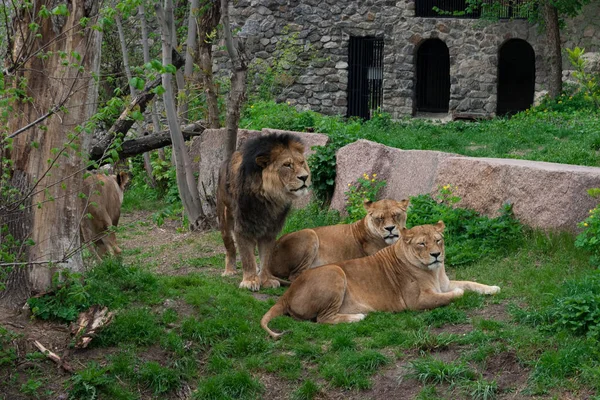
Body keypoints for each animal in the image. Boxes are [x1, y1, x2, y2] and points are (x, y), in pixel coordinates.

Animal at [217, 134, 312, 290]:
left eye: (302, 162)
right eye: (287, 165)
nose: (304, 177)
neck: (268, 197)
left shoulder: (270, 229)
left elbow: (266, 257)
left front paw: (266, 280)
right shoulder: (243, 226)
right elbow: (247, 256)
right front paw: (250, 281)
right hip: (224, 218)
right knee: (230, 247)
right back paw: (229, 270)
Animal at [260, 220, 500, 340]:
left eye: (438, 240)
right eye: (422, 244)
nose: (436, 255)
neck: (435, 271)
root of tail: (287, 294)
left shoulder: (445, 283)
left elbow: (470, 283)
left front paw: (492, 288)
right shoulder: (416, 302)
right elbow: (454, 294)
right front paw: (460, 294)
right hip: (335, 271)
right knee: (322, 319)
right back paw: (357, 317)